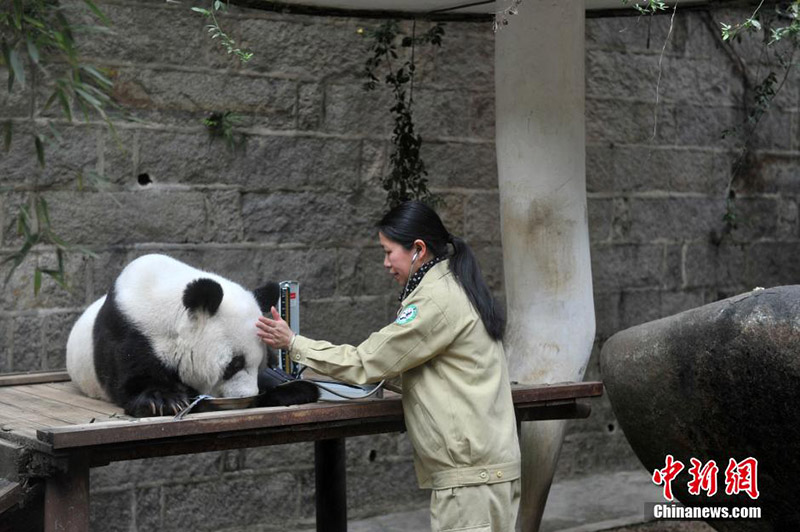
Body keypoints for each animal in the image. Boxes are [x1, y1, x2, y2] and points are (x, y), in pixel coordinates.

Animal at [65, 251, 318, 418]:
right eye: (235, 364)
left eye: (265, 363)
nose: (248, 395)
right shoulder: (128, 331)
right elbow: (132, 379)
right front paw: (163, 401)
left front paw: (291, 390)